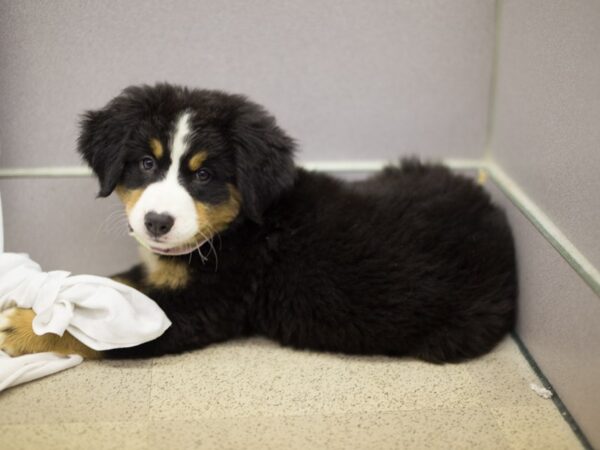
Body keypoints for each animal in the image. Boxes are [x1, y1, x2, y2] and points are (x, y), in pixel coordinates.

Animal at [0, 84, 516, 364]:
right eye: (146, 164)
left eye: (204, 175)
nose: (157, 223)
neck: (236, 230)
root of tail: (493, 213)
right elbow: (114, 286)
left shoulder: (204, 306)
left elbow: (98, 325)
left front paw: (24, 327)